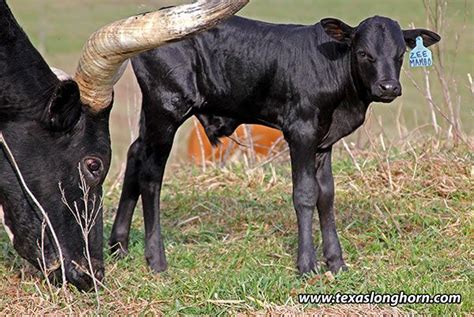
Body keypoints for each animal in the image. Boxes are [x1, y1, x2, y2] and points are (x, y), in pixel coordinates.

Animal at [109, 14, 438, 274]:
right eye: (363, 53)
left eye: (400, 54)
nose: (388, 87)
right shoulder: (301, 131)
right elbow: (305, 194)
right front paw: (307, 265)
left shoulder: (324, 141)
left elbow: (327, 195)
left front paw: (336, 262)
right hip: (166, 107)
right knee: (151, 175)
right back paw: (156, 260)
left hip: (153, 113)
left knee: (136, 154)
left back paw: (118, 247)